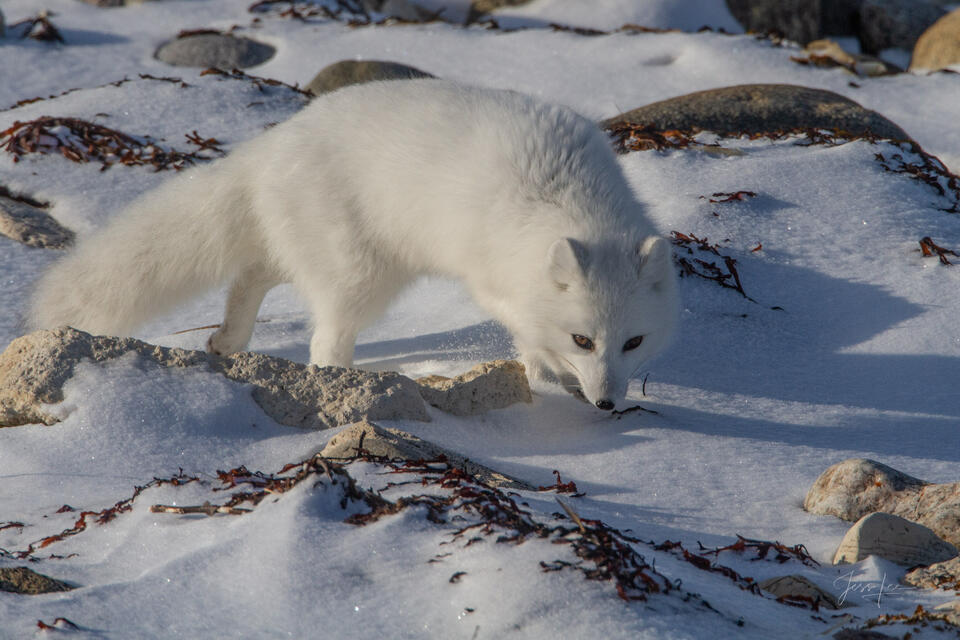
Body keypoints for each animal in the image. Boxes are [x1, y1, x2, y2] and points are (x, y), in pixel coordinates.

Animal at [29, 80, 679, 411]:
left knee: (253, 274)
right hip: (361, 273)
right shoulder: (494, 280)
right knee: (323, 339)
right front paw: (546, 372)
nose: (607, 404)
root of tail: (273, 143)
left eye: (634, 342)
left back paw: (227, 341)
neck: (567, 198)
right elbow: (524, 328)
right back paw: (339, 383)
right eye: (582, 339)